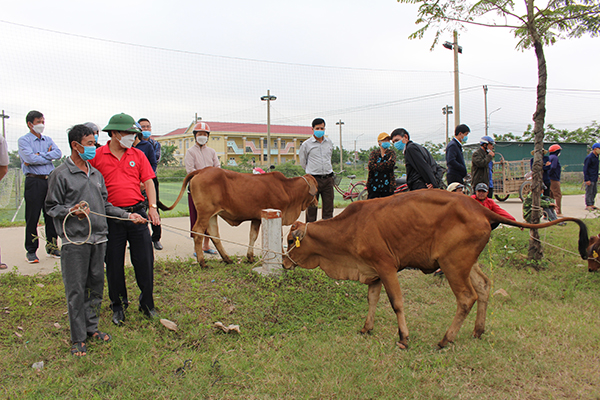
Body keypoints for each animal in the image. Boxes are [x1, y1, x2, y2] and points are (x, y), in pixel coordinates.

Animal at [159, 167, 318, 268]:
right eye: (316, 188)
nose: (317, 202)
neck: (287, 188)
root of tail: (201, 170)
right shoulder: (276, 215)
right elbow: (278, 238)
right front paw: (282, 256)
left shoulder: (257, 218)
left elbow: (252, 236)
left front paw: (250, 257)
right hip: (204, 213)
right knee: (198, 232)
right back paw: (202, 262)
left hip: (212, 215)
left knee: (214, 235)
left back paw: (227, 259)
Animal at [284, 189, 588, 348]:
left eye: (289, 241)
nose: (285, 262)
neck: (350, 229)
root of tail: (480, 209)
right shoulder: (373, 272)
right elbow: (372, 300)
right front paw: (366, 328)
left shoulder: (386, 266)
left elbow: (396, 303)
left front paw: (404, 338)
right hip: (465, 262)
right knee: (484, 287)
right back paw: (478, 331)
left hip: (453, 264)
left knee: (466, 297)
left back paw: (445, 340)